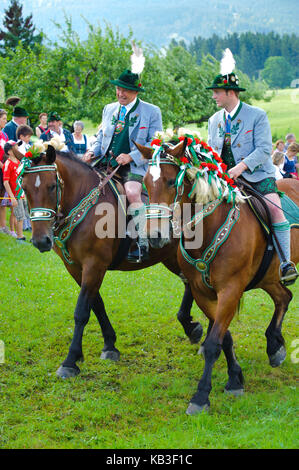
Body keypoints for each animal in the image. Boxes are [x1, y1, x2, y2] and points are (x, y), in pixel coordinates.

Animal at [18, 145, 204, 380]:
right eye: (24, 188)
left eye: (52, 186)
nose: (41, 241)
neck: (86, 206)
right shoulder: (75, 268)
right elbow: (97, 305)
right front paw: (109, 345)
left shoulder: (94, 264)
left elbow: (82, 311)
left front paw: (70, 361)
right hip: (171, 257)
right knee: (190, 284)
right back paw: (191, 327)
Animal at [140, 140, 299, 414]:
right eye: (145, 182)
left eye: (171, 182)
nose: (154, 235)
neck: (210, 228)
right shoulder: (202, 292)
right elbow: (224, 337)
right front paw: (235, 378)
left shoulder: (230, 290)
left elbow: (214, 342)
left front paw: (201, 396)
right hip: (268, 277)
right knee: (284, 297)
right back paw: (274, 345)